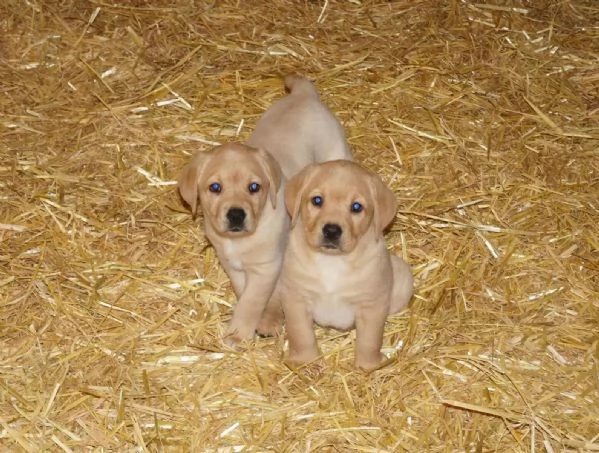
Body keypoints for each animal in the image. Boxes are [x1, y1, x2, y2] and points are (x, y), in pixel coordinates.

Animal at [177, 76, 352, 342]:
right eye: (215, 187)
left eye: (254, 187)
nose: (236, 215)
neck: (240, 240)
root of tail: (302, 94)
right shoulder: (233, 266)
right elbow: (245, 293)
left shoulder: (267, 267)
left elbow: (252, 300)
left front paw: (240, 333)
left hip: (335, 147)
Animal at [278, 161, 414, 370]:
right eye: (317, 200)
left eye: (356, 207)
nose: (332, 230)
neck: (332, 261)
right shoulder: (296, 298)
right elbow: (301, 335)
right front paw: (305, 361)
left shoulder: (371, 305)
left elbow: (369, 341)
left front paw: (369, 366)